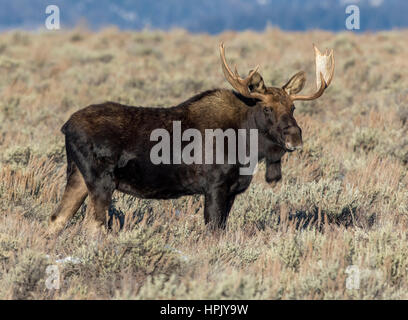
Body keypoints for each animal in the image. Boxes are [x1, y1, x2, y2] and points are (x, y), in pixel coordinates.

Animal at [47, 42, 334, 235]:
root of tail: (65, 126)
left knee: (56, 219)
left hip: (78, 176)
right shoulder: (215, 187)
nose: (295, 137)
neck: (247, 145)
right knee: (92, 225)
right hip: (100, 181)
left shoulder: (232, 190)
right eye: (266, 108)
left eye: (293, 107)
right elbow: (213, 231)